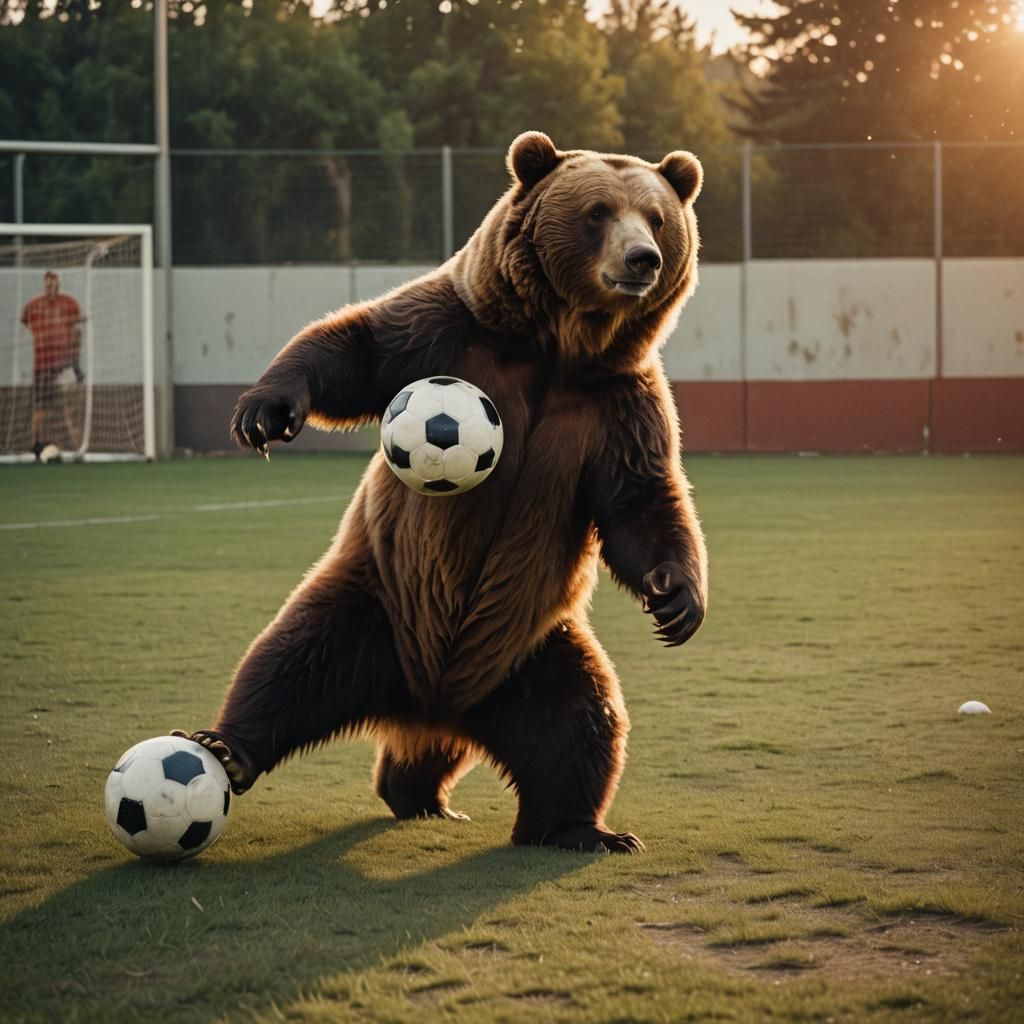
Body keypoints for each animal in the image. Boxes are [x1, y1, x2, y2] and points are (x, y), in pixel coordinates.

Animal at [177, 132, 708, 854]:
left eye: (656, 218)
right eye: (598, 212)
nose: (641, 258)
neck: (558, 351)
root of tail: (430, 704)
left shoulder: (618, 402)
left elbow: (641, 499)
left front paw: (677, 601)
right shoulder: (452, 335)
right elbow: (360, 347)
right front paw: (265, 409)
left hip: (530, 651)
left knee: (582, 724)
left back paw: (576, 827)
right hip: (377, 602)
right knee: (287, 666)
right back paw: (229, 748)